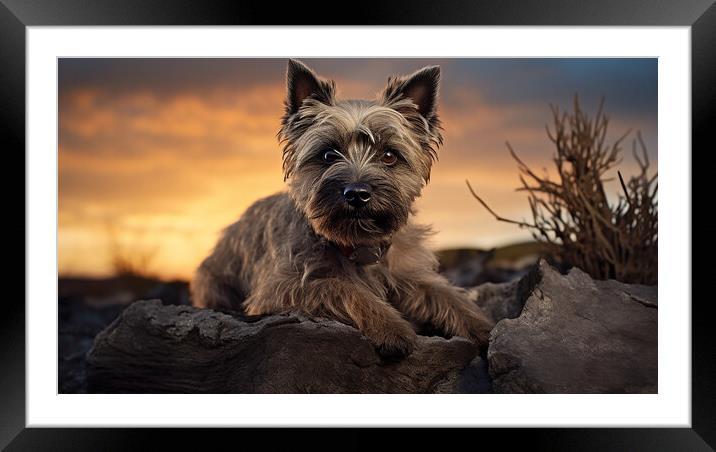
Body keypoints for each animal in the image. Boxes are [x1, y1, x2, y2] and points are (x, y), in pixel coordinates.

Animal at [190, 59, 492, 356]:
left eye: (389, 155)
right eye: (328, 154)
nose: (357, 194)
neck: (358, 246)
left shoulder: (410, 273)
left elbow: (445, 293)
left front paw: (482, 326)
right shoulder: (279, 288)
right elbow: (342, 288)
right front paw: (390, 326)